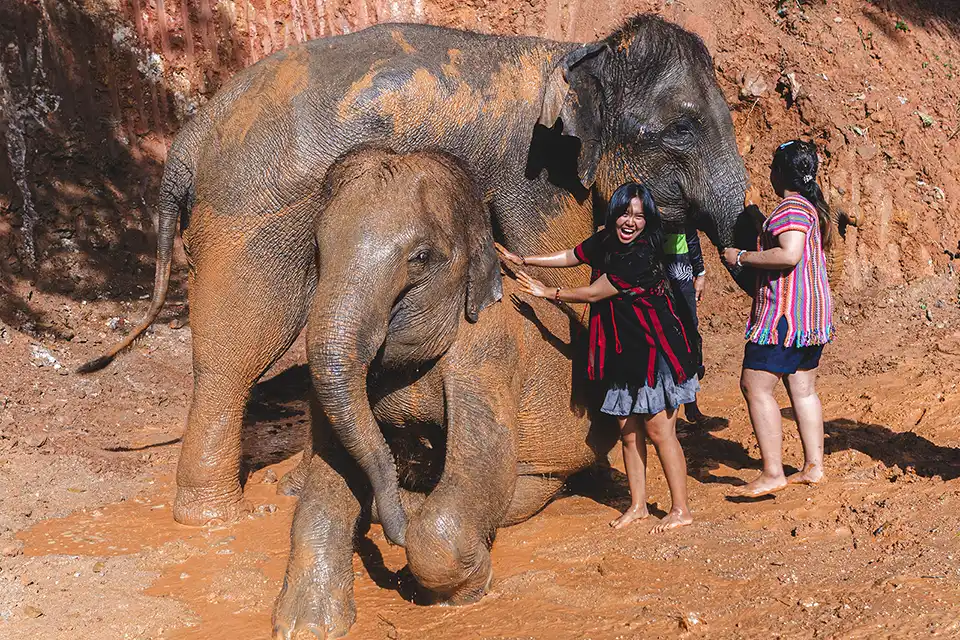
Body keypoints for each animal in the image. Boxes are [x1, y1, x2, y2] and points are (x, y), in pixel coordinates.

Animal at [78, 14, 747, 537]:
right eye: (683, 127)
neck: (580, 53)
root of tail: (189, 138)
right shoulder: (539, 178)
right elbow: (568, 270)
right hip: (250, 216)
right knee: (234, 355)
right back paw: (218, 518)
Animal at [273, 145, 615, 638]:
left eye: (419, 257)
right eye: (317, 248)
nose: (395, 531)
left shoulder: (489, 350)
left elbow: (484, 462)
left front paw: (468, 589)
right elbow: (331, 464)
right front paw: (306, 625)